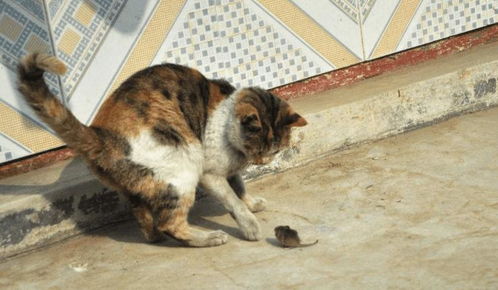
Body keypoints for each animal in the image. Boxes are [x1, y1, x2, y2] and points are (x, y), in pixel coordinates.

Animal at [17, 53, 308, 247]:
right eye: (259, 148)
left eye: (275, 151)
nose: (262, 161)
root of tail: (102, 135)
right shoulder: (210, 173)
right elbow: (232, 199)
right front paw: (249, 225)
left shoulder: (229, 169)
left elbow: (240, 187)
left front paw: (252, 204)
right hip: (184, 167)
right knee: (171, 223)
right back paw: (208, 237)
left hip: (139, 187)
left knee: (148, 220)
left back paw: (156, 237)